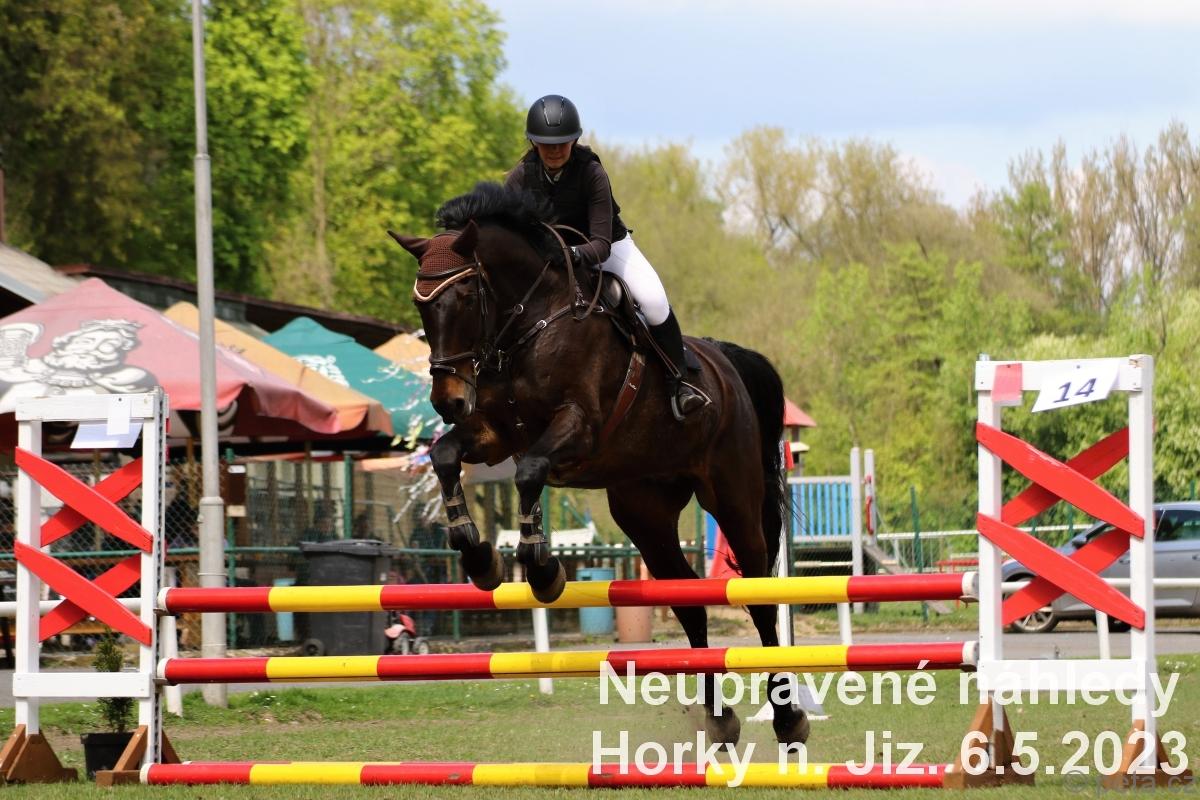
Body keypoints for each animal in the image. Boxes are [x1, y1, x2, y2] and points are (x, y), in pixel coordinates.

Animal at [389, 182, 807, 746]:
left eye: (466, 297)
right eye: (420, 305)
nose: (448, 401)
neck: (527, 322)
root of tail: (726, 364)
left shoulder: (577, 428)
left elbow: (528, 473)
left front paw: (542, 570)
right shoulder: (494, 434)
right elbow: (445, 455)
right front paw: (479, 559)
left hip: (733, 496)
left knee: (759, 593)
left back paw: (787, 717)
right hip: (645, 513)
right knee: (690, 602)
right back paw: (719, 717)